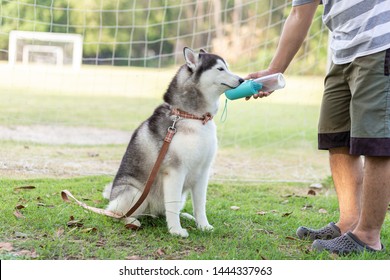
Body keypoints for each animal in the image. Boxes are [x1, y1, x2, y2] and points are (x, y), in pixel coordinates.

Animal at [103, 47, 244, 236]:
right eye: (220, 69)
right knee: (116, 213)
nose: (242, 79)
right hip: (133, 192)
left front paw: (203, 225)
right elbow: (173, 204)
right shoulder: (175, 171)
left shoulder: (203, 171)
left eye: (227, 67)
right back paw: (132, 220)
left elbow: (200, 204)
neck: (193, 117)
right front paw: (176, 230)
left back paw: (184, 216)